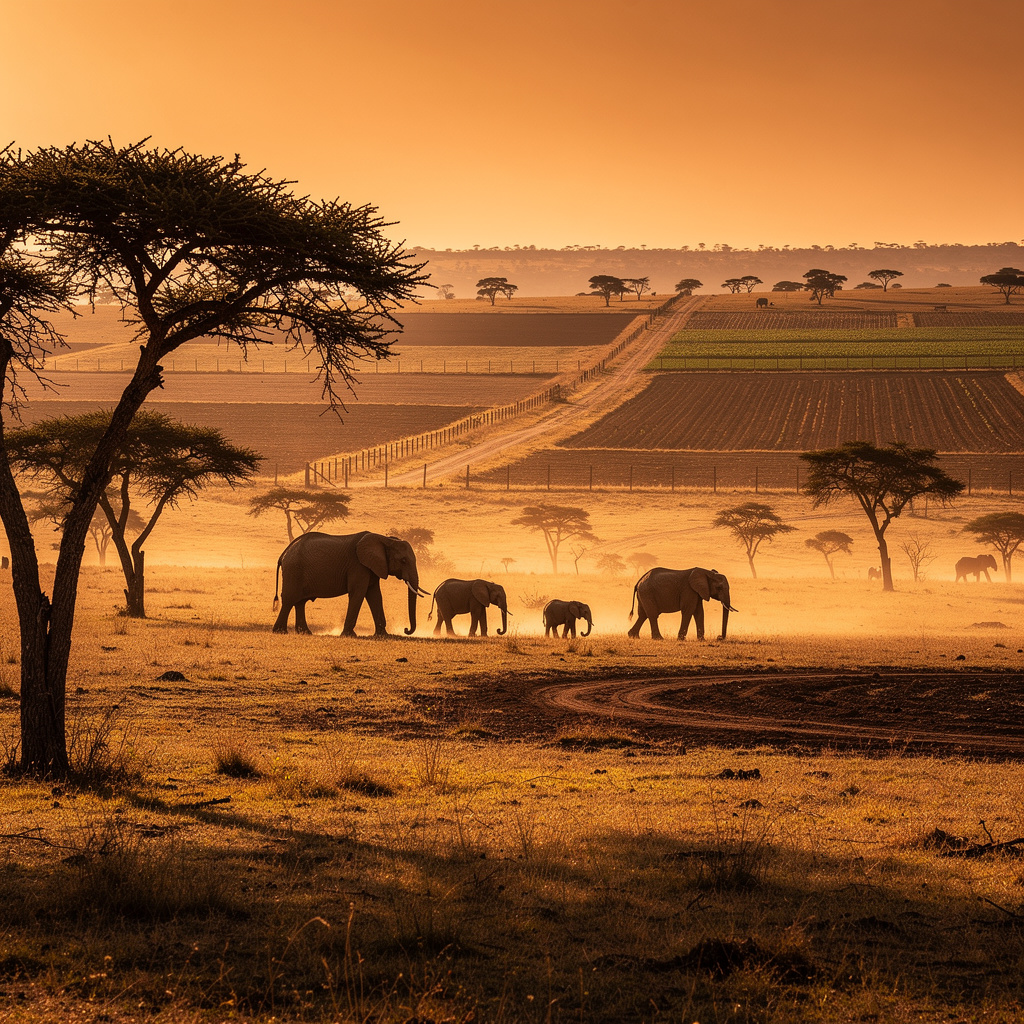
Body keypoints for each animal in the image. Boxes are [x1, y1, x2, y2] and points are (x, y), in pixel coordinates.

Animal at [272, 531, 426, 636]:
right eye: (403, 561)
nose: (406, 629)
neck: (384, 539)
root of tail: (284, 553)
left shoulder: (372, 567)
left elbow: (375, 595)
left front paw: (383, 635)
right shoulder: (358, 565)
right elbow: (358, 593)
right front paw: (349, 635)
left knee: (300, 602)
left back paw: (305, 633)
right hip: (294, 571)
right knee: (290, 600)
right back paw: (280, 632)